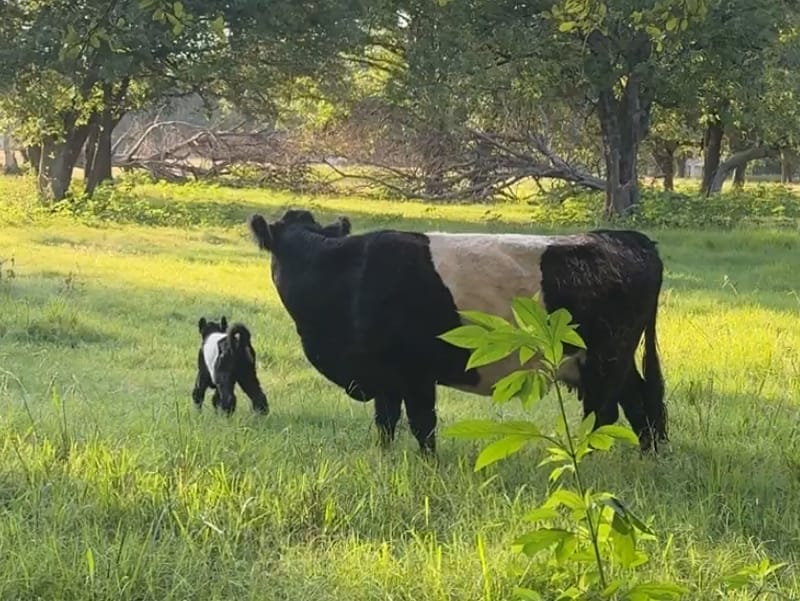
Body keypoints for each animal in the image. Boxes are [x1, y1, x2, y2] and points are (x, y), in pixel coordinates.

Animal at [247, 209, 664, 452]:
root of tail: (625, 237)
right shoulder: (384, 376)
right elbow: (386, 422)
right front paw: (385, 458)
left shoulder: (414, 371)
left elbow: (422, 423)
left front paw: (428, 464)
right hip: (615, 359)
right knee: (640, 400)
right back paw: (650, 453)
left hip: (606, 356)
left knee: (605, 410)